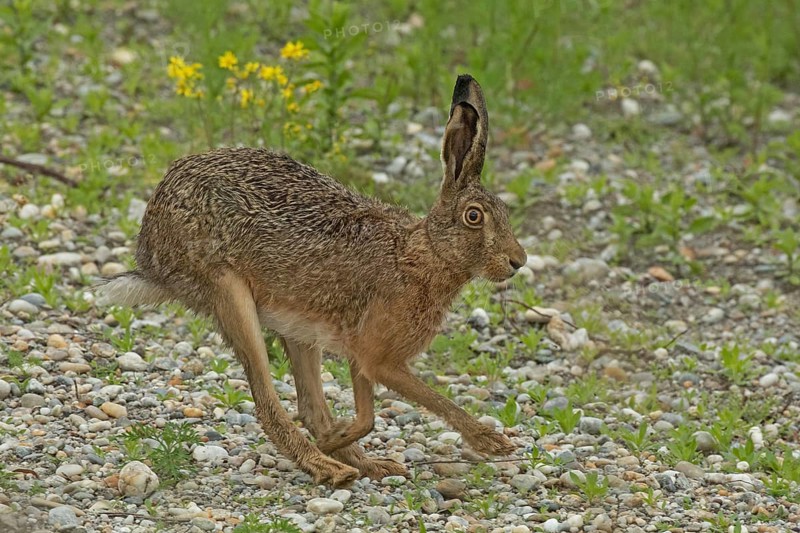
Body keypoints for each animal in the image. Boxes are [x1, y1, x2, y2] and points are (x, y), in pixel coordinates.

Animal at [97, 74, 527, 488]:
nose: (517, 262)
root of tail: (150, 249)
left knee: (310, 407)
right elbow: (416, 401)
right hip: (227, 292)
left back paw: (363, 463)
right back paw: (327, 465)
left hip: (298, 327)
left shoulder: (360, 353)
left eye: (506, 213)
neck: (420, 254)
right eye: (474, 216)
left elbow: (366, 414)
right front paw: (491, 442)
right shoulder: (379, 358)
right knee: (268, 404)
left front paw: (342, 441)